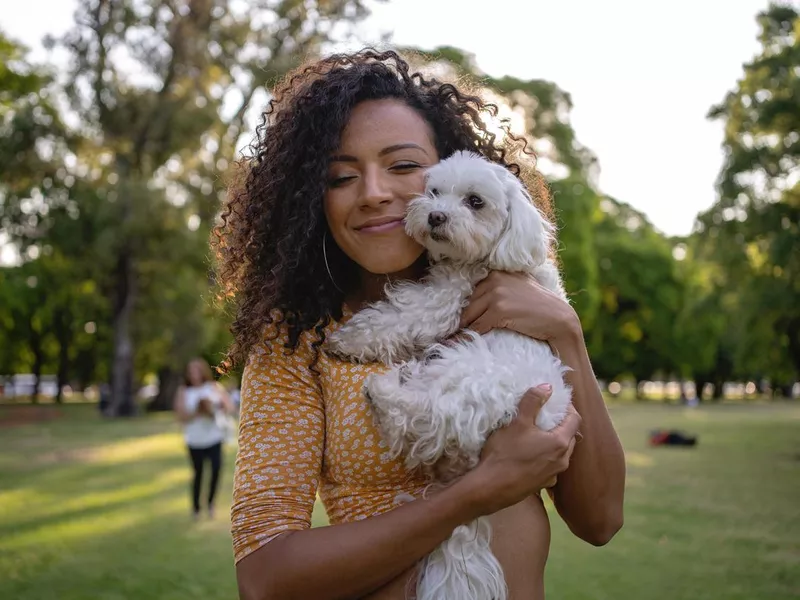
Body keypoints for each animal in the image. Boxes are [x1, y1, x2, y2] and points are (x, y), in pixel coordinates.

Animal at [328, 150, 572, 600]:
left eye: (475, 202)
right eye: (434, 192)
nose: (436, 216)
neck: (488, 259)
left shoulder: (447, 298)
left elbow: (400, 315)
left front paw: (347, 339)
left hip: (468, 369)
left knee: (416, 413)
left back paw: (385, 388)